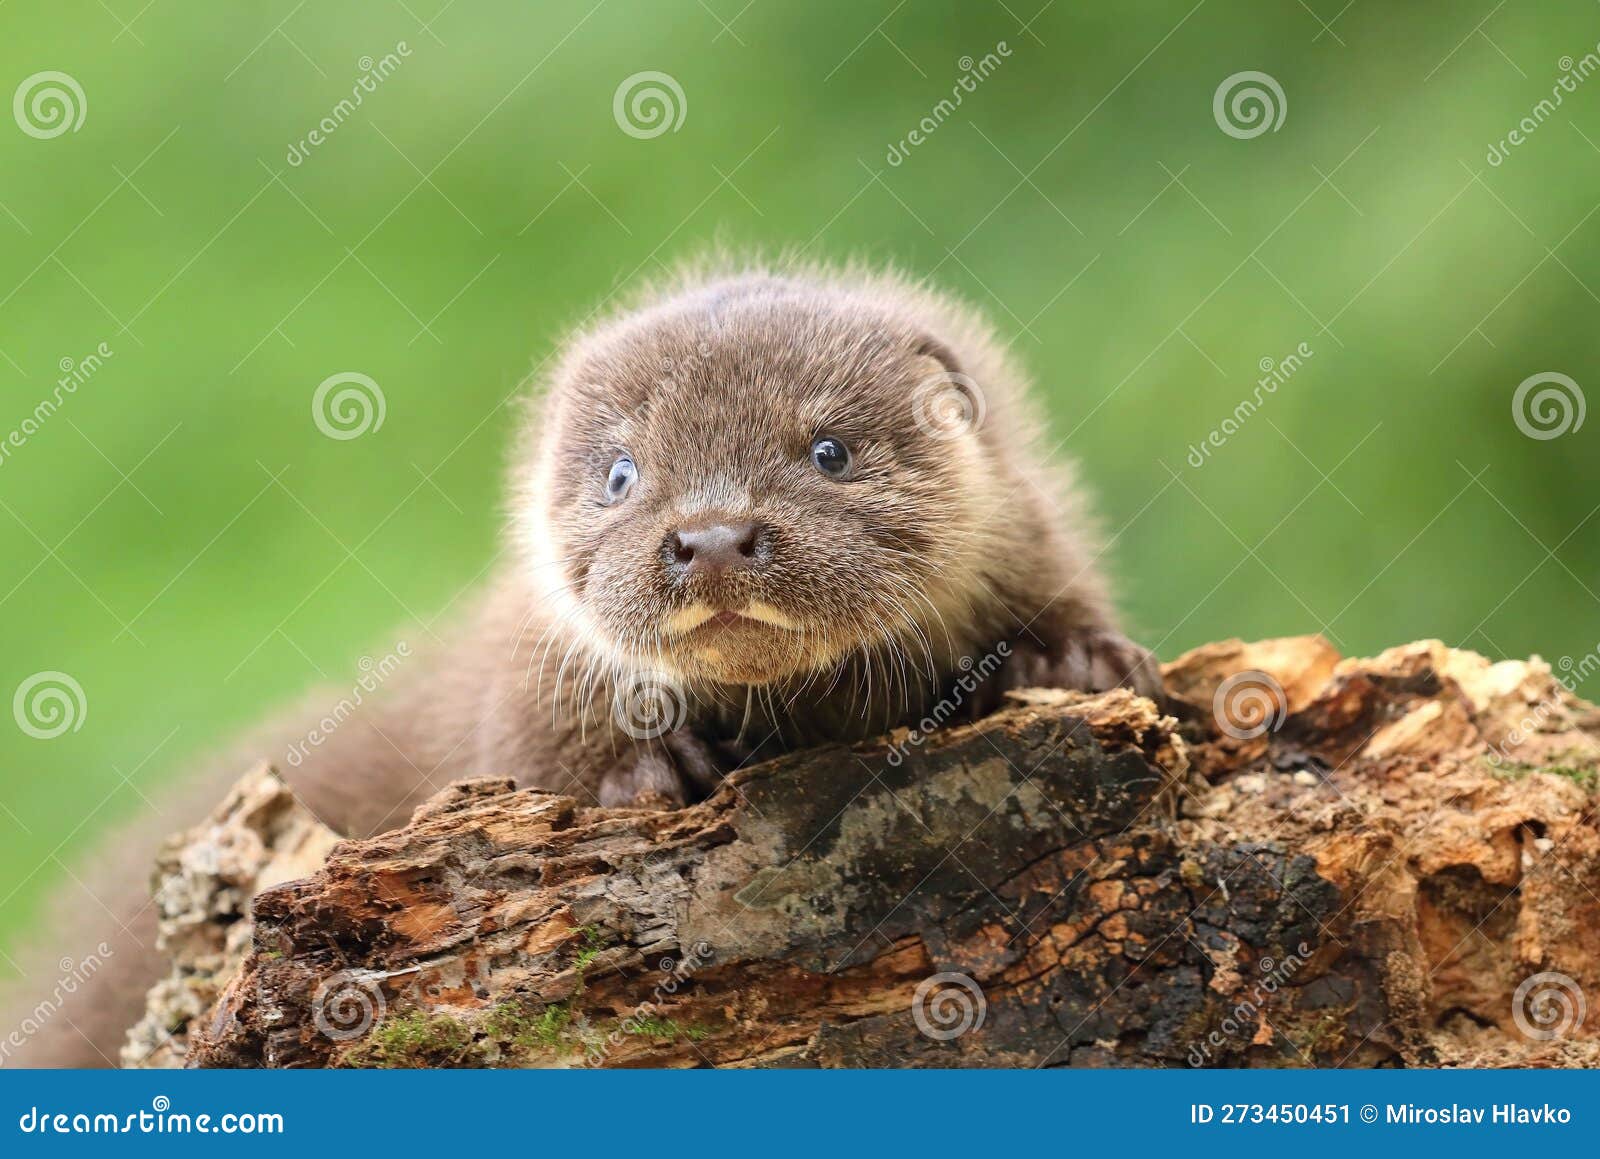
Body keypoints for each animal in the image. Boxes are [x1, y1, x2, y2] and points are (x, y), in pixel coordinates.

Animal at [6, 262, 1158, 1069]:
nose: (712, 536)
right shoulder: (522, 678)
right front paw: (643, 770)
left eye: (829, 450)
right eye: (621, 472)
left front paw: (1079, 657)